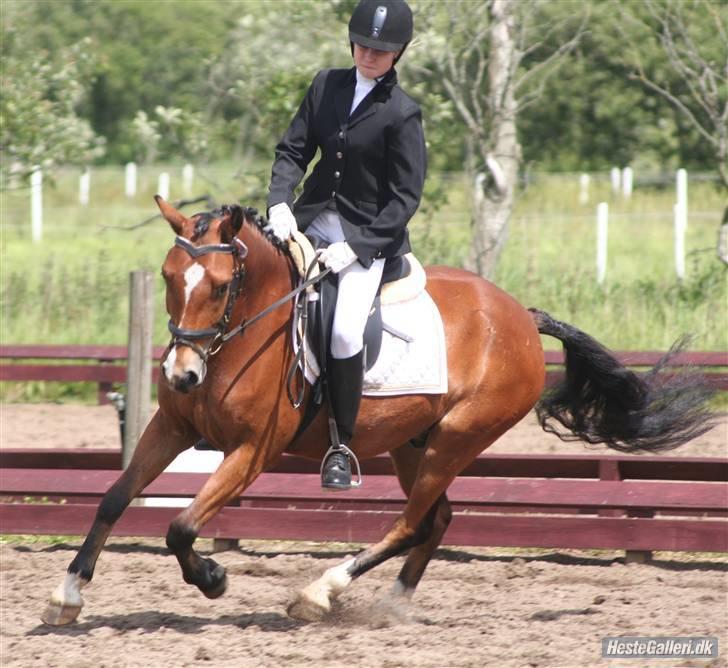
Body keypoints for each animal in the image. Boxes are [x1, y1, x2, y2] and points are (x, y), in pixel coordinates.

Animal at [42, 198, 714, 625]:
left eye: (220, 286)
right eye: (167, 277)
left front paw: (212, 579)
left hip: (458, 437)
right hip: (412, 442)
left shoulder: (251, 451)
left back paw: (320, 593)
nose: (183, 374)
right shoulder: (173, 427)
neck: (245, 328)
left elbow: (180, 526)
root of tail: (521, 316)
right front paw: (68, 594)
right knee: (435, 519)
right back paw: (390, 605)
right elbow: (114, 497)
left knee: (412, 522)